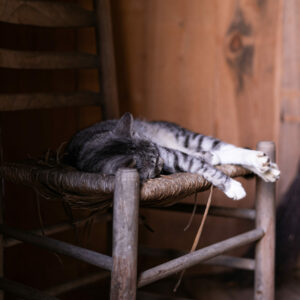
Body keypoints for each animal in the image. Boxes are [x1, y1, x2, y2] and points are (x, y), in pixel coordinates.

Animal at [64, 112, 280, 199]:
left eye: (154, 150)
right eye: (153, 164)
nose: (161, 160)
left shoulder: (171, 154)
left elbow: (203, 166)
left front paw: (232, 186)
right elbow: (202, 164)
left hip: (186, 136)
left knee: (227, 148)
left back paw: (261, 164)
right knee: (217, 152)